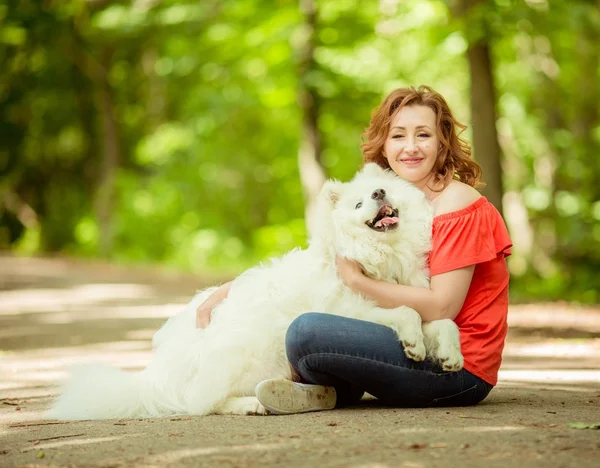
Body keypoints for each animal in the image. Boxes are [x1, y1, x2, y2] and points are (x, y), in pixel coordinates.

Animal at [48, 165, 464, 420]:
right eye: (359, 203)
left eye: (385, 191)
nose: (378, 192)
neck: (382, 258)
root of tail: (155, 377)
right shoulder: (350, 309)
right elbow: (406, 313)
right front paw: (414, 343)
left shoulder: (415, 298)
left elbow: (441, 321)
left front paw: (450, 355)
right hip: (257, 347)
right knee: (201, 402)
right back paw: (250, 404)